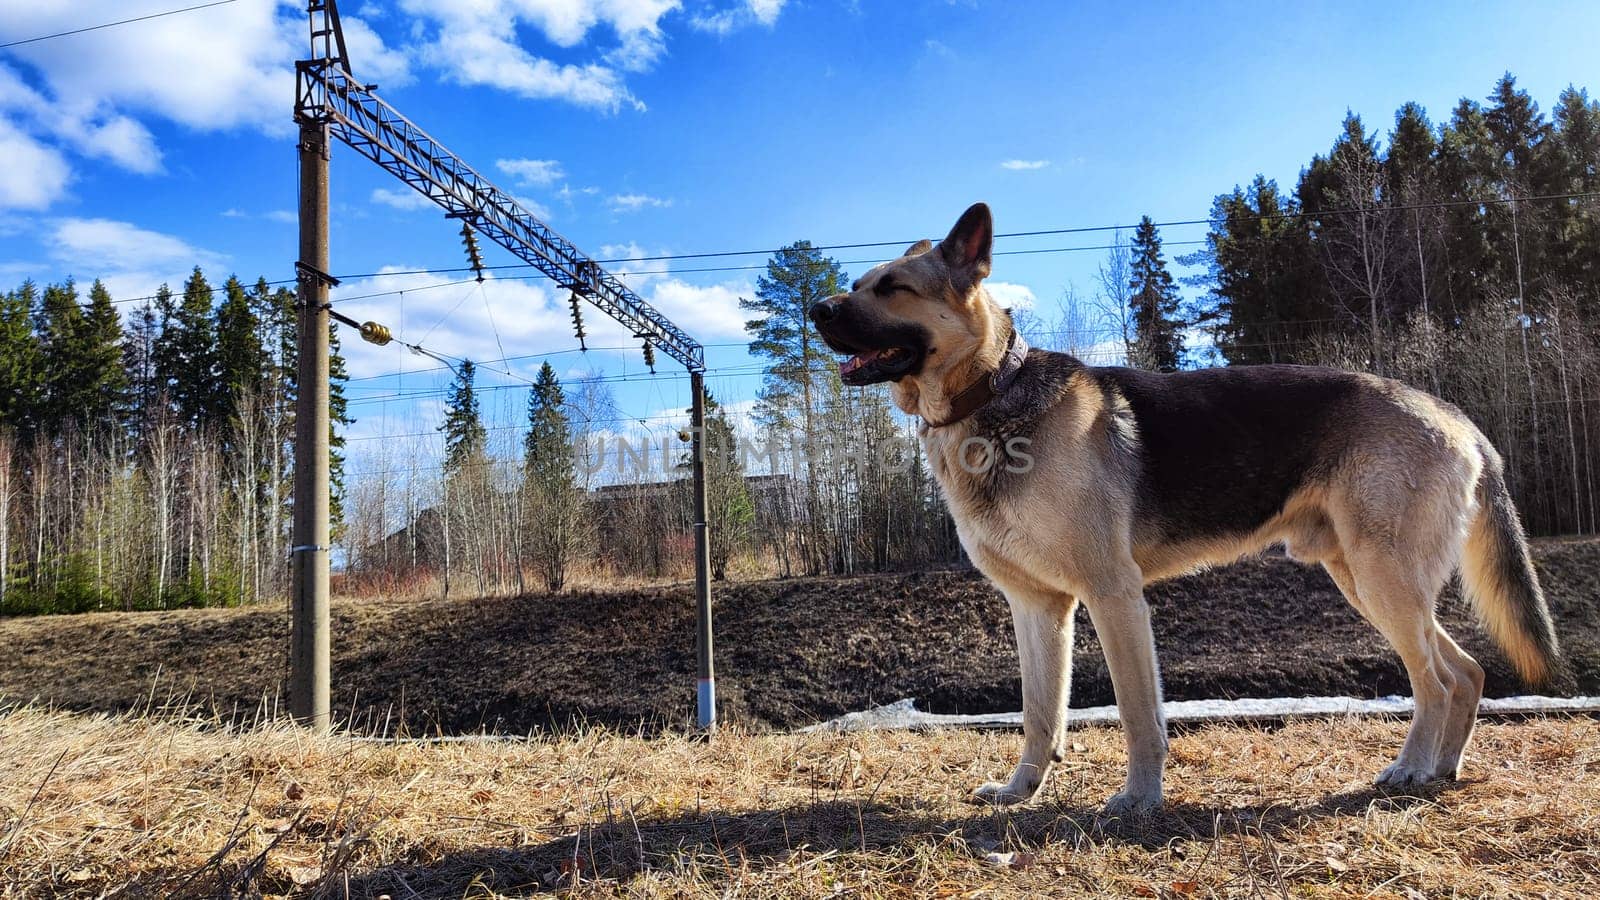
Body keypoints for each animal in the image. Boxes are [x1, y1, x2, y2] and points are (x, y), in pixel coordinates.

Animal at [806, 203, 1555, 813]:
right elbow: (1039, 714)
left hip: (1383, 582)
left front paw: (1140, 798)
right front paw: (1023, 790)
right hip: (1367, 583)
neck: (992, 391)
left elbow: (1139, 714)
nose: (816, 309)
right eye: (861, 281)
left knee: (1434, 681)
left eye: (892, 288)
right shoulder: (1039, 610)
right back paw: (1443, 770)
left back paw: (1409, 768)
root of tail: (1457, 416)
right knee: (1467, 672)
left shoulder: (1114, 598)